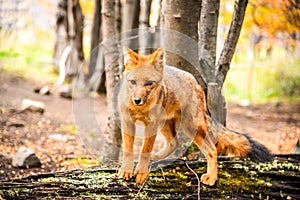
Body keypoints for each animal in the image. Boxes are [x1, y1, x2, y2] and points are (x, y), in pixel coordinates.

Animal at [118, 47, 274, 186]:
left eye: (149, 83)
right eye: (133, 82)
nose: (137, 100)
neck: (140, 109)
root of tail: (195, 82)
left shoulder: (151, 125)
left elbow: (144, 150)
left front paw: (141, 173)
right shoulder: (127, 122)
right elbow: (128, 150)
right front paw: (126, 171)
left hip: (190, 126)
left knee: (212, 150)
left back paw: (211, 178)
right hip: (166, 124)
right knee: (174, 143)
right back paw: (156, 157)